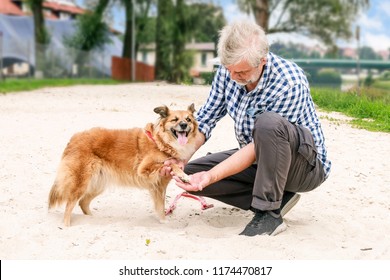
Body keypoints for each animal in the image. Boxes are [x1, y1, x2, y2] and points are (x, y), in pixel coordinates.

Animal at [48, 104, 198, 226]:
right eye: (175, 119)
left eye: (188, 120)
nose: (183, 125)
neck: (161, 142)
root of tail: (74, 138)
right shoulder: (144, 169)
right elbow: (171, 165)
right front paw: (183, 175)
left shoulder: (159, 186)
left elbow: (161, 206)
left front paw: (163, 221)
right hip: (81, 183)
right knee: (70, 204)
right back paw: (66, 224)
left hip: (98, 184)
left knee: (83, 202)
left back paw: (92, 219)